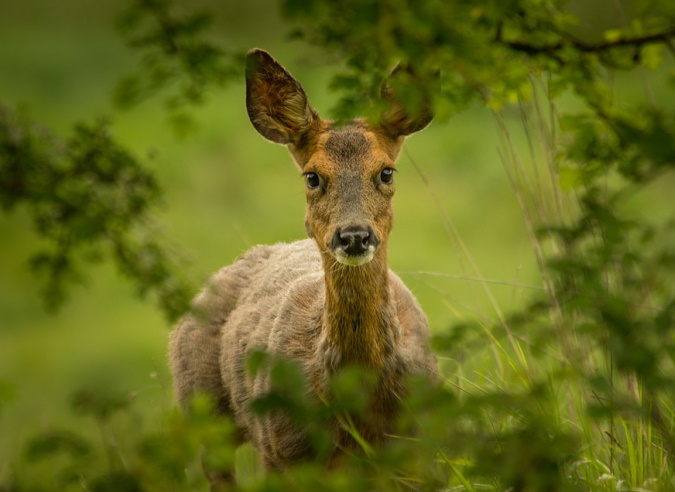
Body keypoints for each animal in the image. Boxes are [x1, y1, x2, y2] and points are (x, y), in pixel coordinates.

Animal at [169, 50, 438, 484]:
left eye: (386, 172)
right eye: (312, 176)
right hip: (201, 404)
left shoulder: (418, 449)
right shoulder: (284, 451)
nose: (354, 236)